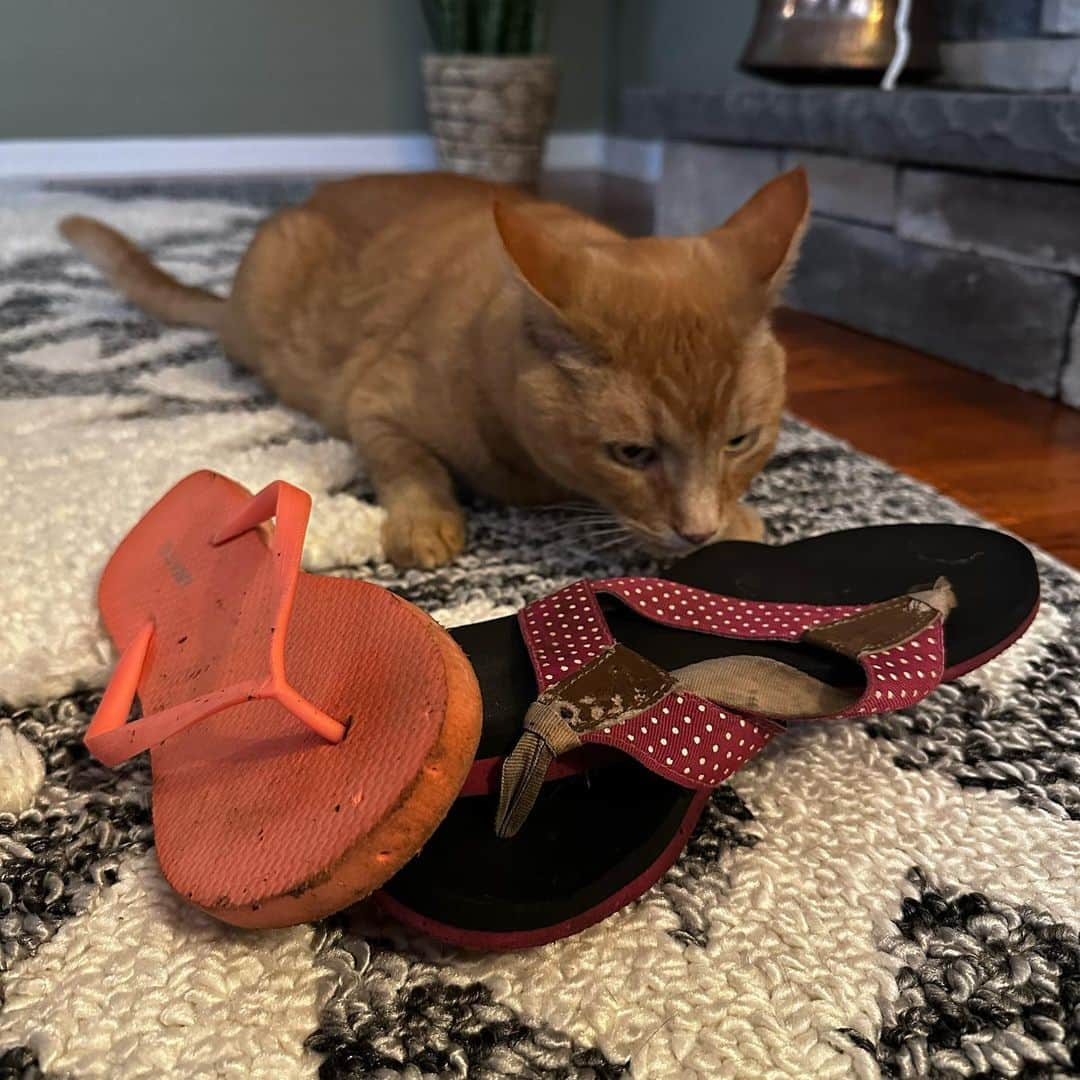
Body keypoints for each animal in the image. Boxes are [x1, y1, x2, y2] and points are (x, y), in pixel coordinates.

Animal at [56, 167, 803, 565]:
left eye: (740, 441)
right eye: (632, 453)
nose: (697, 528)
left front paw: (736, 521)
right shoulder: (372, 402)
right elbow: (410, 464)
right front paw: (424, 523)